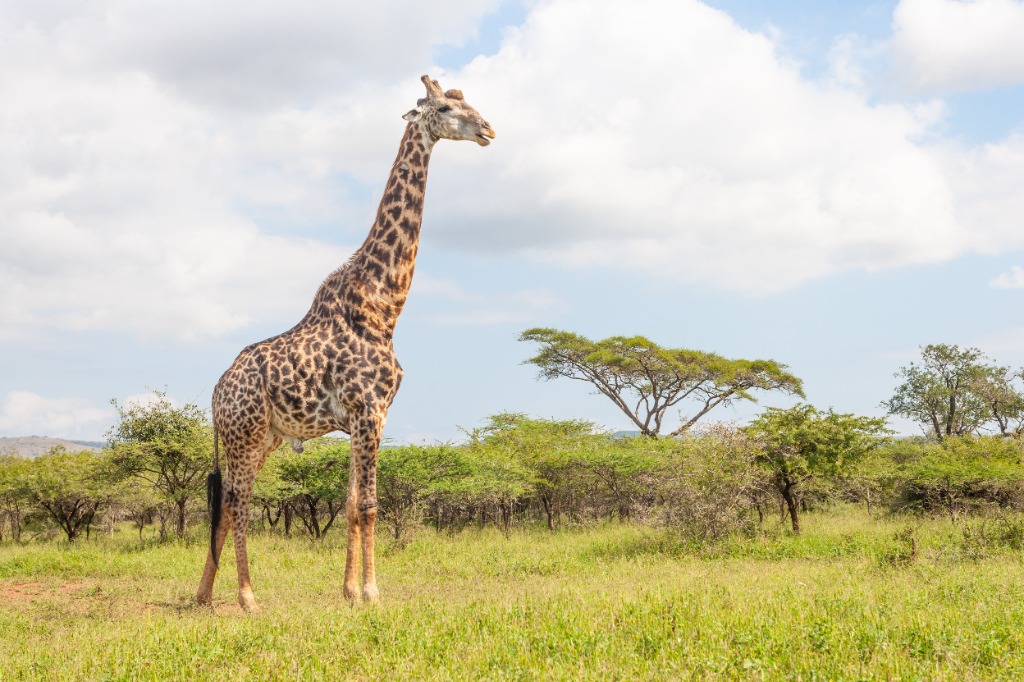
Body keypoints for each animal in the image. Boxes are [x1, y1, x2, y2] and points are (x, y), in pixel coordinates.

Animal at [195, 75, 495, 612]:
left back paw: (204, 593)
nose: (488, 129)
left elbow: (353, 503)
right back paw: (247, 597)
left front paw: (351, 590)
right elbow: (371, 504)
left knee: (225, 503)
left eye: (467, 101)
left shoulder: (371, 416)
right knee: (239, 501)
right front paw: (373, 592)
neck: (384, 306)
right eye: (443, 108)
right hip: (245, 433)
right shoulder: (368, 408)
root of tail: (215, 393)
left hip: (264, 436)